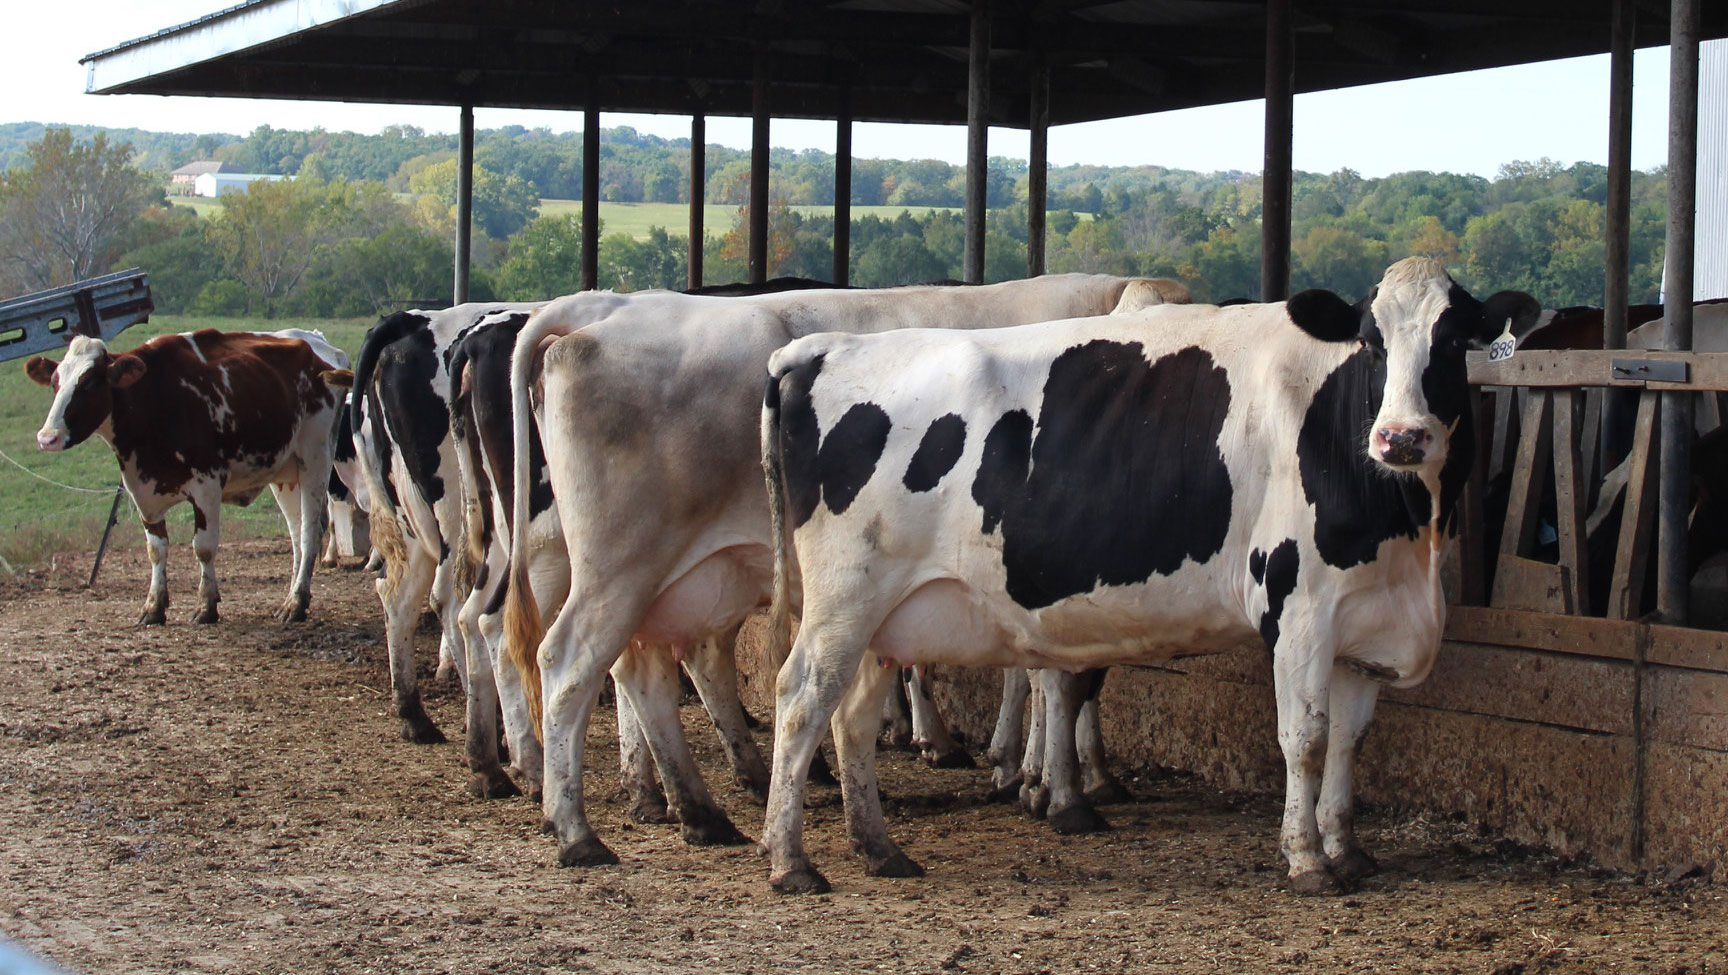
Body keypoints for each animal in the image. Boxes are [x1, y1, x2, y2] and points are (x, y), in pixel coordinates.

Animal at [27, 323, 347, 622]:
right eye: (55, 383)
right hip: (285, 473)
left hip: (315, 458)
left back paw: (297, 602)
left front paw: (206, 606)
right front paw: (154, 606)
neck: (152, 400)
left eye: (90, 382)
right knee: (296, 533)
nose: (47, 438)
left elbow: (203, 547)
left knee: (309, 532)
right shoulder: (141, 489)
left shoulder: (207, 486)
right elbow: (156, 549)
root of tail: (319, 344)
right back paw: (291, 597)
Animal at [756, 257, 1541, 892]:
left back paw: (878, 848)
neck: (1408, 534)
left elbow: (1349, 742)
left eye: (1452, 342)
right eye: (1372, 343)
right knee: (800, 700)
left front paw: (1347, 849)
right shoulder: (1299, 610)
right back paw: (792, 861)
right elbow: (1306, 738)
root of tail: (823, 347)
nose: (1401, 437)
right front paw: (1307, 860)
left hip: (882, 617)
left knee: (852, 715)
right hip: (843, 599)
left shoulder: (1365, 621)